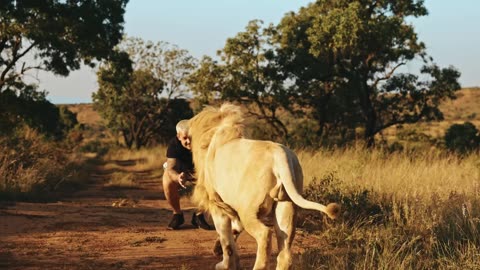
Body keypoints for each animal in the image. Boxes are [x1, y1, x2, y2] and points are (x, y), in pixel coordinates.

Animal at [189, 104, 340, 270]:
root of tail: (279, 154)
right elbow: (234, 231)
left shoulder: (216, 202)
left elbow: (226, 239)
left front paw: (224, 264)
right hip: (286, 205)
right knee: (285, 249)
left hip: (248, 209)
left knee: (265, 234)